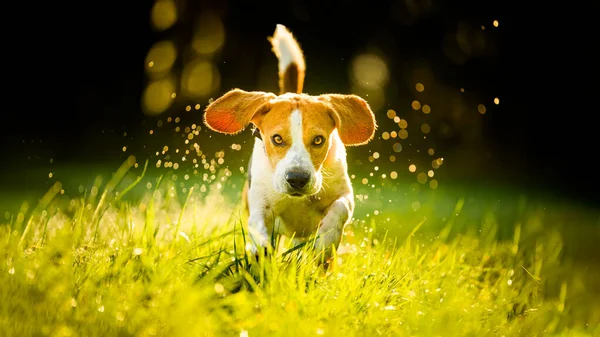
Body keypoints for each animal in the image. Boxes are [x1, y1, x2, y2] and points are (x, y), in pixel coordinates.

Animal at [204, 24, 378, 260]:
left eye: (318, 140)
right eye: (277, 139)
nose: (297, 179)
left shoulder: (344, 194)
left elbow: (340, 208)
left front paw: (326, 241)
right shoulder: (260, 204)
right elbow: (258, 228)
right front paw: (261, 252)